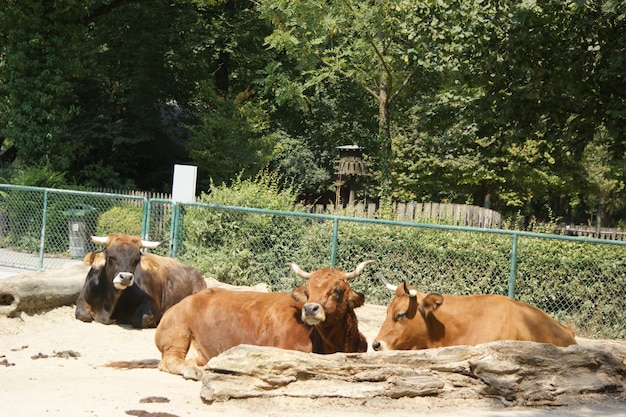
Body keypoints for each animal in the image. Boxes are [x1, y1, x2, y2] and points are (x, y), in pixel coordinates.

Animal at [73, 232, 205, 326]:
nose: (126, 277)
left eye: (136, 260)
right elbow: (82, 314)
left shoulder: (151, 306)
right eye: (111, 257)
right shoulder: (82, 298)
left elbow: (139, 319)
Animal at [154, 260, 370, 380]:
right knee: (169, 360)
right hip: (178, 334)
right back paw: (191, 370)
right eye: (307, 292)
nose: (310, 309)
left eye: (337, 290)